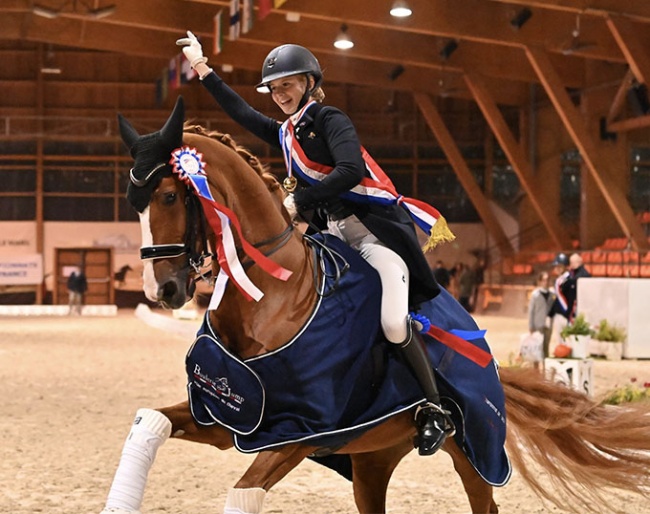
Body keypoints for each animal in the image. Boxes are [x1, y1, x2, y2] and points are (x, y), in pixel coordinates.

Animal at [104, 97, 648, 512]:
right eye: (134, 202)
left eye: (170, 195)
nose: (161, 291)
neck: (271, 292)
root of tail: (484, 348)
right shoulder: (228, 417)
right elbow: (149, 424)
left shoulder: (297, 432)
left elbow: (242, 496)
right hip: (372, 457)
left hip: (475, 449)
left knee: (485, 500)